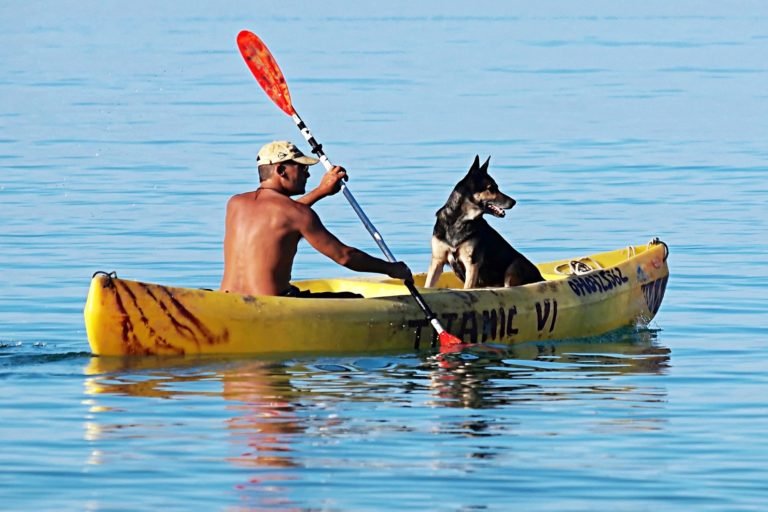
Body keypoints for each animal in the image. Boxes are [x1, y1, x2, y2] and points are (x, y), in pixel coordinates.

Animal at [424, 156, 544, 288]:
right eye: (491, 188)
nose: (514, 202)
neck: (459, 221)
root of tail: (541, 278)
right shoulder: (437, 261)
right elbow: (428, 284)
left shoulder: (472, 264)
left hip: (514, 266)